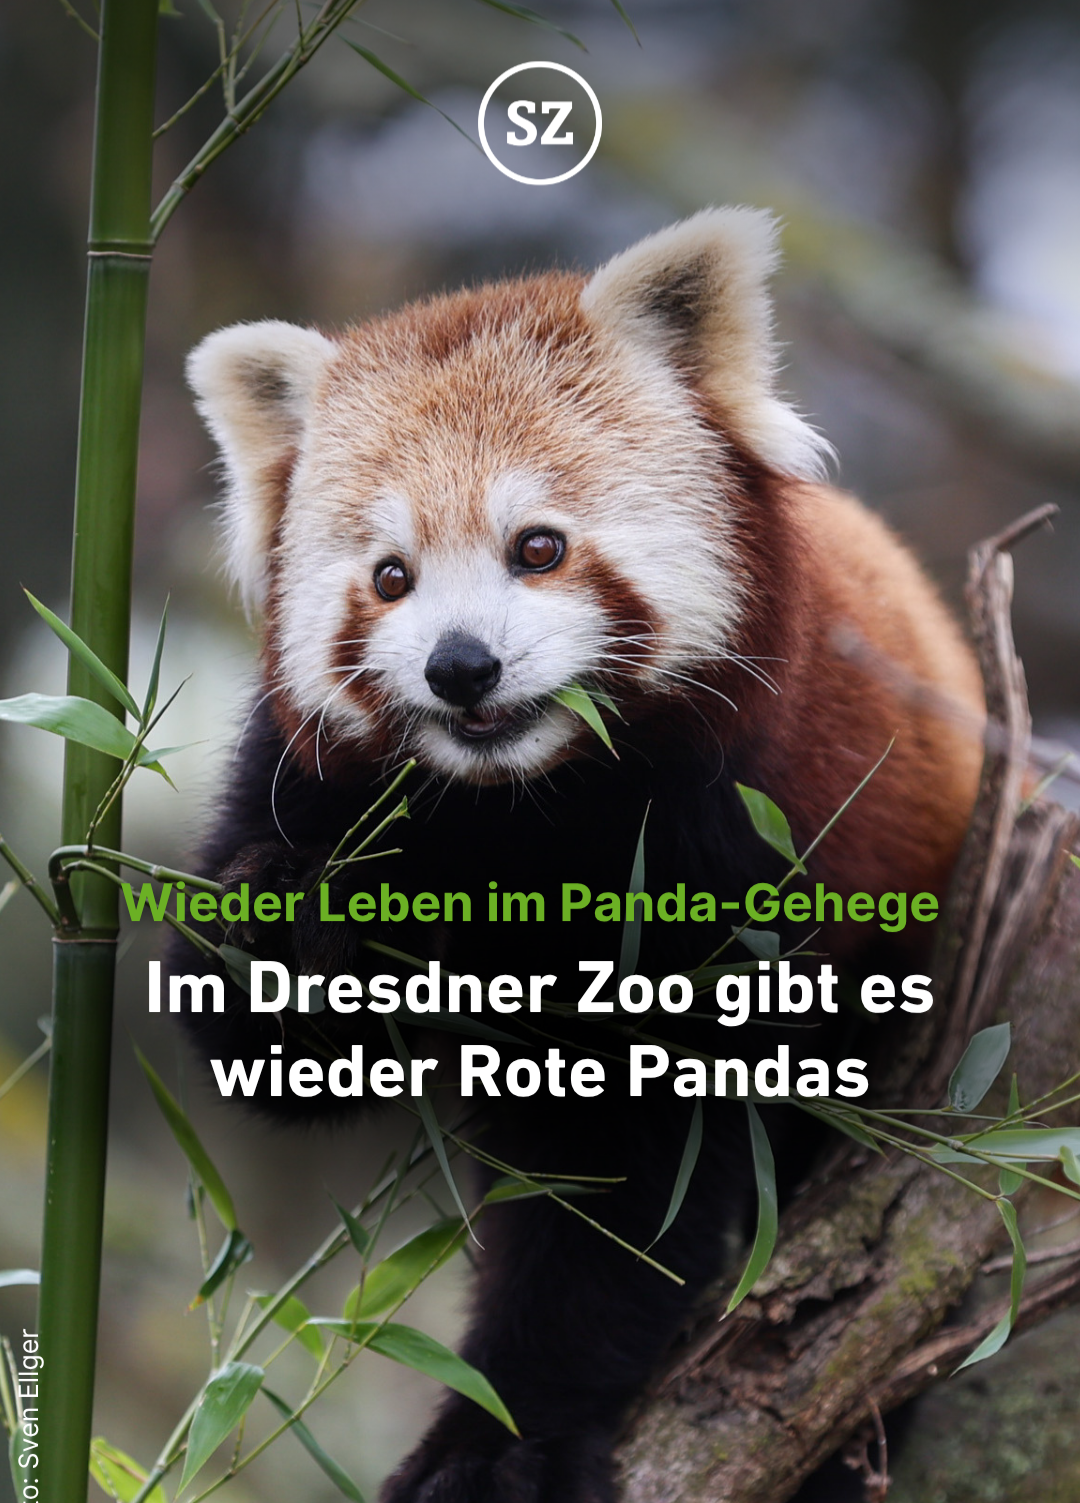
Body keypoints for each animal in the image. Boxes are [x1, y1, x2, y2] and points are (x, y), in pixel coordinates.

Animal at [178, 208, 984, 1502]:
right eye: (390, 576)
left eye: (539, 547)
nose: (460, 666)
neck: (524, 806)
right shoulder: (301, 778)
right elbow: (264, 1039)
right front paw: (299, 929)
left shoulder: (732, 846)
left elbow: (622, 1173)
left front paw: (501, 1439)